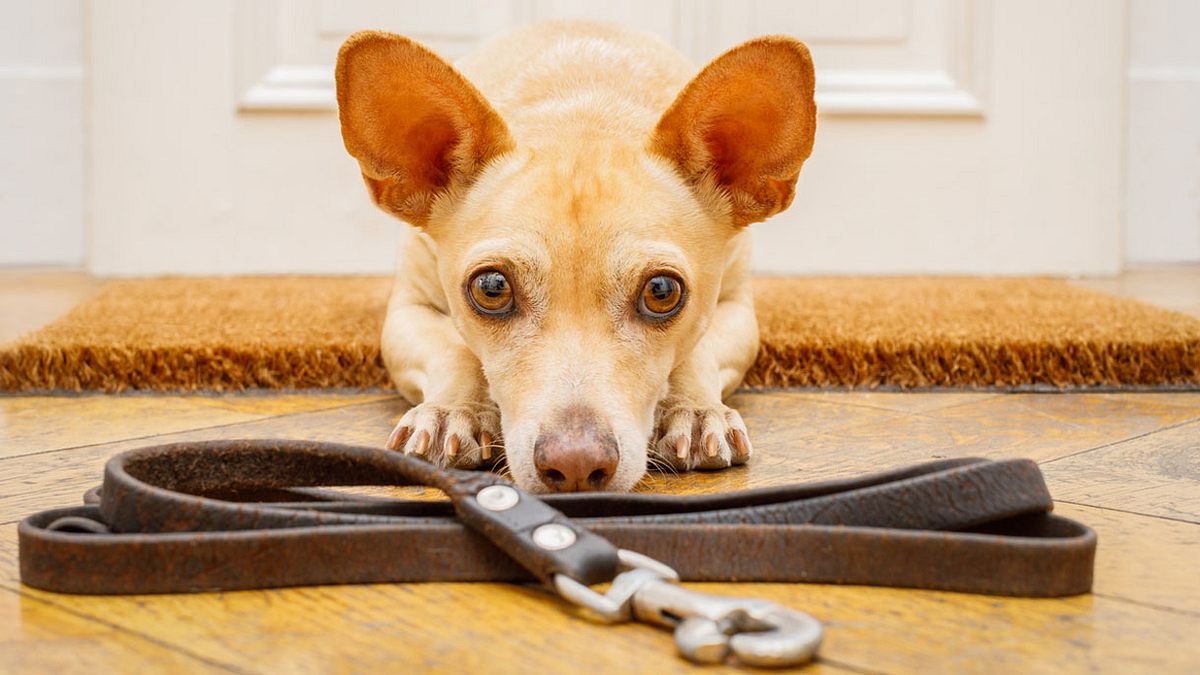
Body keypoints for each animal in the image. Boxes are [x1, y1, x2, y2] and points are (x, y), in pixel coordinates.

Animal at [338, 21, 816, 492]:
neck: (582, 107)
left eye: (662, 291)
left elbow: (695, 354)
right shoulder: (408, 314)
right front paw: (455, 411)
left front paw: (693, 411)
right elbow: (456, 350)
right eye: (492, 288)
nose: (575, 465)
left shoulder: (736, 313)